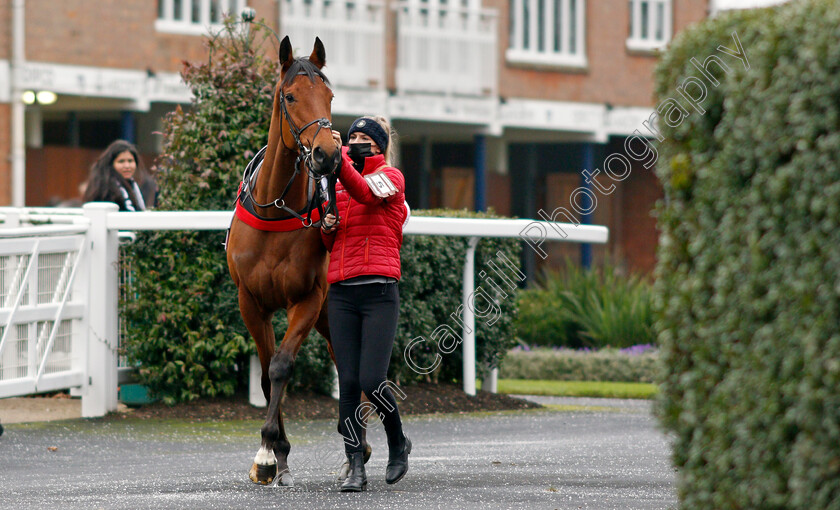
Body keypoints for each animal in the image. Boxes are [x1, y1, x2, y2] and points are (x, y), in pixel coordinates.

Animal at [226, 34, 368, 486]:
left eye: (330, 95)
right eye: (290, 96)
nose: (328, 154)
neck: (275, 211)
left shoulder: (307, 298)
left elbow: (282, 366)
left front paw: (270, 448)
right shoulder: (251, 302)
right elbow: (266, 369)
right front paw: (273, 455)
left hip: (329, 308)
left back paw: (359, 447)